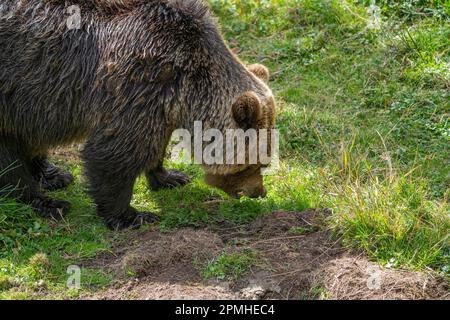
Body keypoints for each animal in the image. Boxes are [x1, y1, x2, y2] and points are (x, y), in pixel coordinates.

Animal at [0, 0, 276, 230]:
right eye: (256, 163)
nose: (258, 192)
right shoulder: (138, 80)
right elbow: (117, 152)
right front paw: (131, 215)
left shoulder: (160, 100)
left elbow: (156, 143)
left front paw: (170, 177)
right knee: (10, 157)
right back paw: (47, 202)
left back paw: (53, 174)